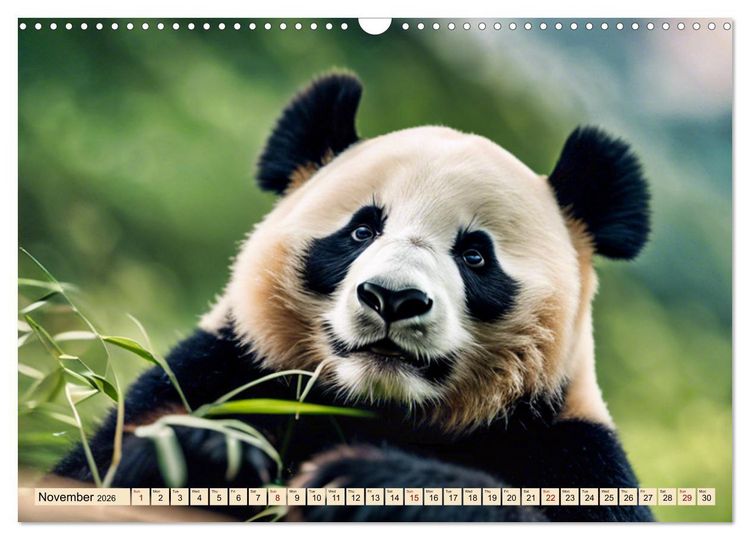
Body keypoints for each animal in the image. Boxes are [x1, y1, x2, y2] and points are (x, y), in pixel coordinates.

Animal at [54, 72, 652, 522]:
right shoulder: (222, 367)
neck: (373, 406)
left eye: (475, 256)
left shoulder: (569, 448)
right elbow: (86, 473)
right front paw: (210, 453)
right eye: (362, 230)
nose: (393, 299)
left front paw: (373, 485)